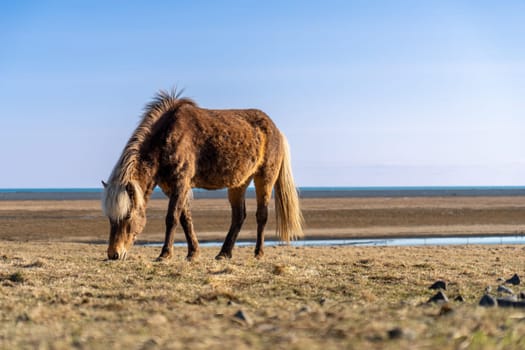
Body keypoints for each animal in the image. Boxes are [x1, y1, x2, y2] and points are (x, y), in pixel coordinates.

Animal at [102, 89, 302, 260]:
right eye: (110, 218)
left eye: (127, 217)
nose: (114, 254)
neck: (167, 135)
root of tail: (277, 131)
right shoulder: (172, 187)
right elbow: (185, 219)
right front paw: (193, 253)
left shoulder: (180, 183)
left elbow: (172, 218)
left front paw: (165, 254)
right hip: (239, 183)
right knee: (238, 216)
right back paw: (224, 253)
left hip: (265, 178)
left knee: (261, 215)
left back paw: (258, 253)